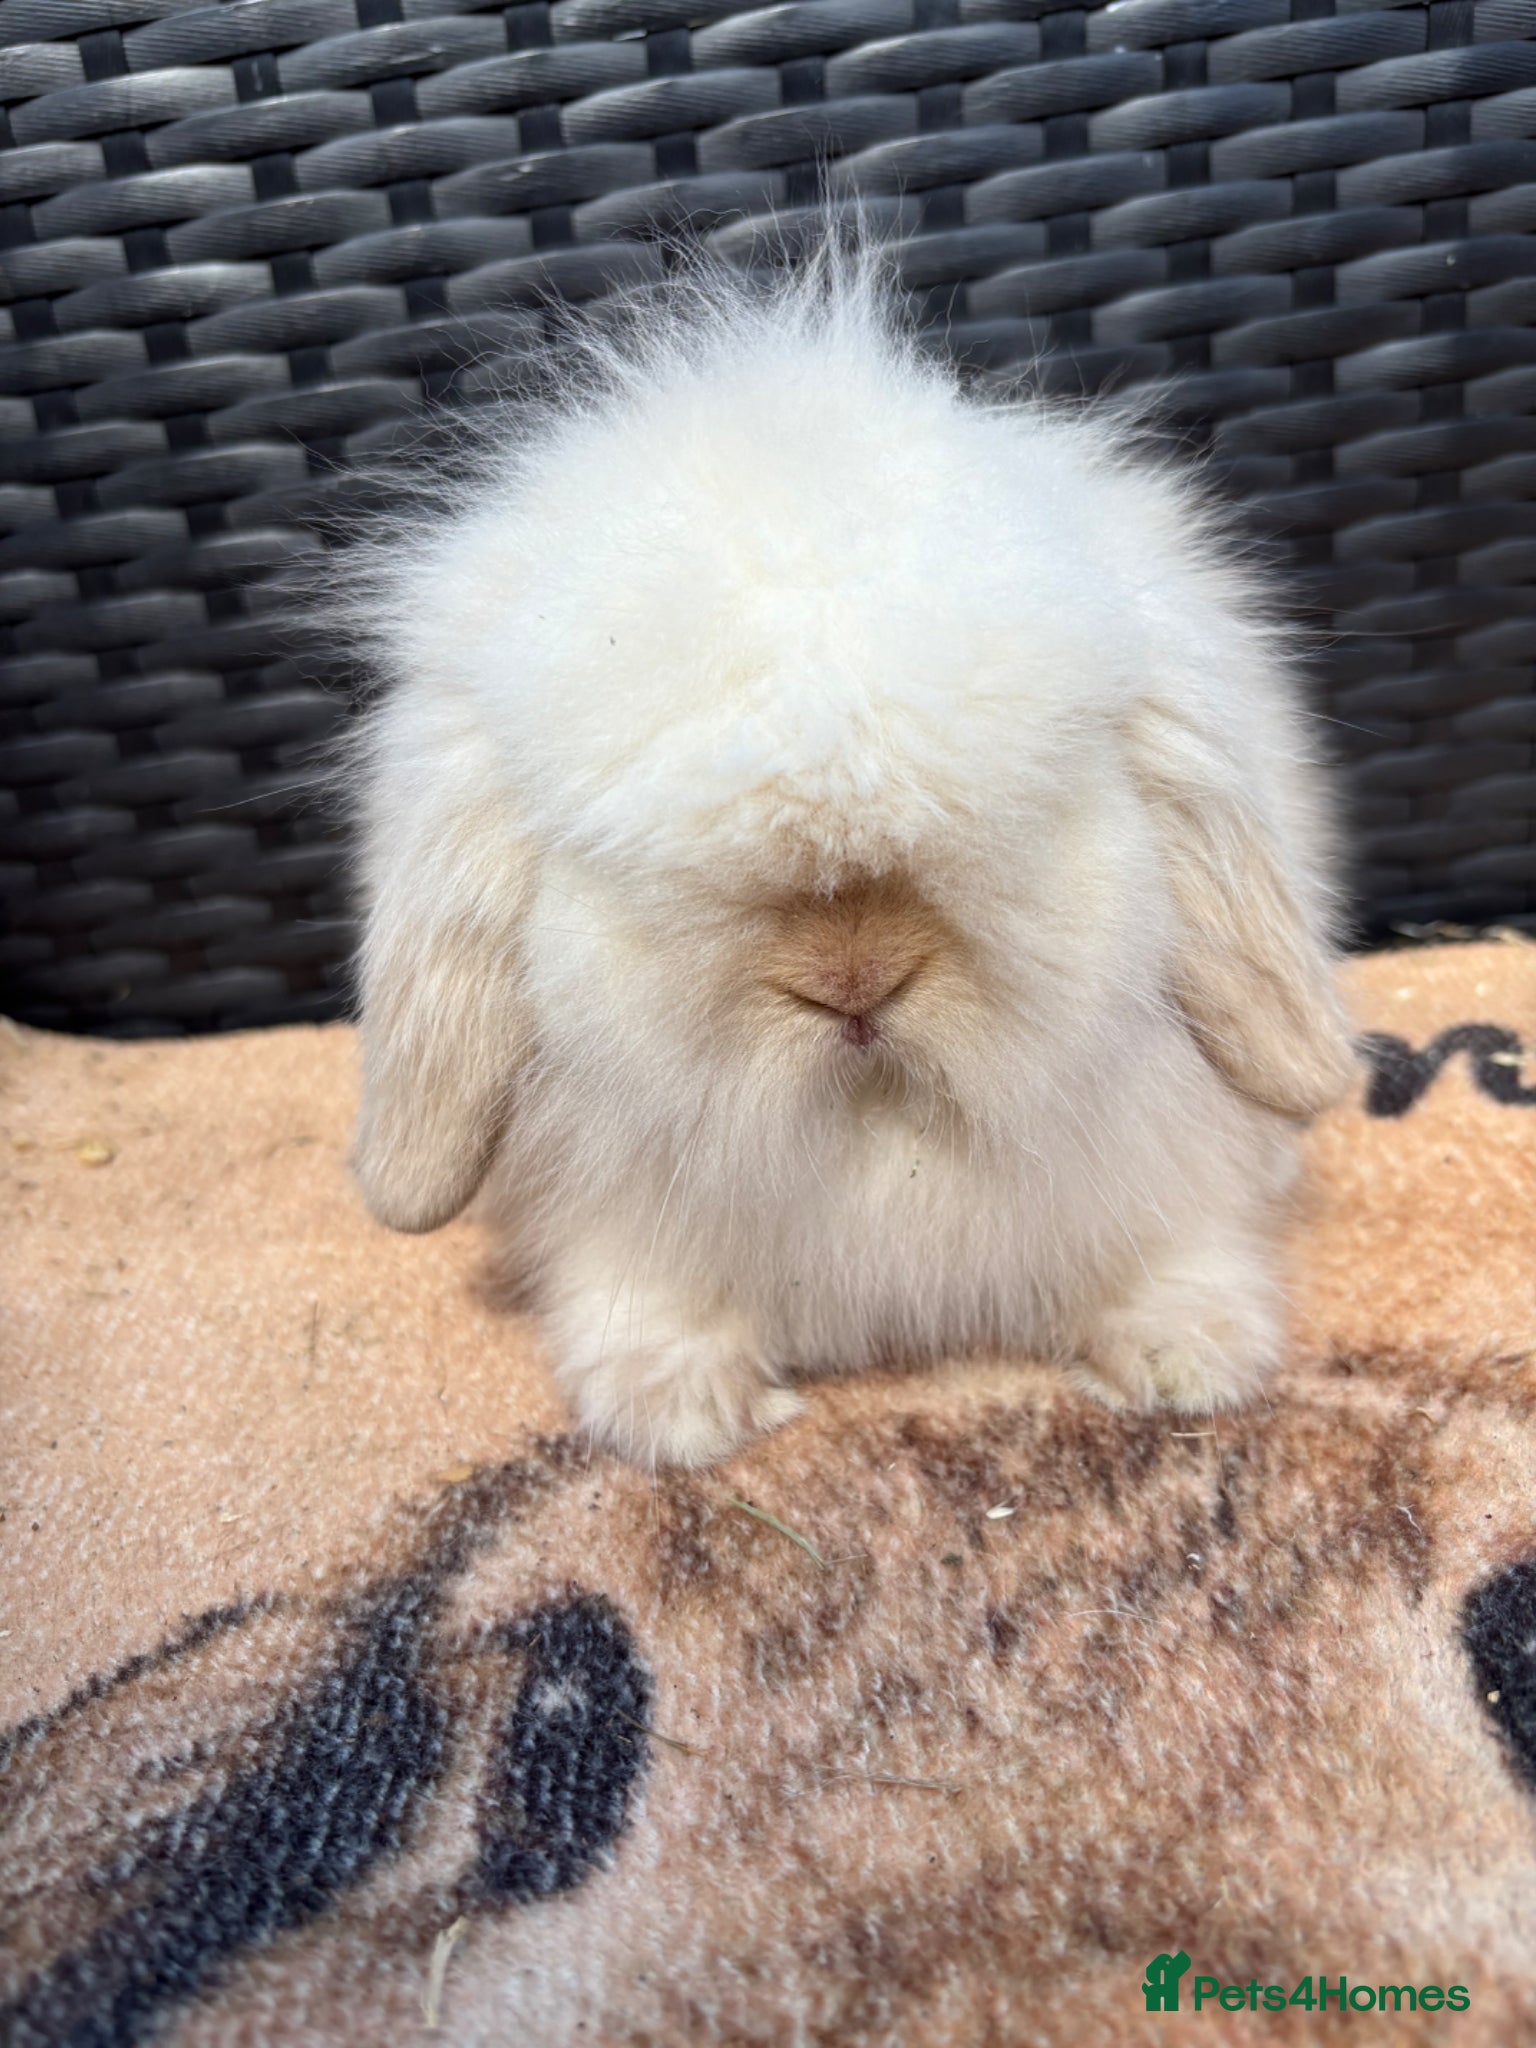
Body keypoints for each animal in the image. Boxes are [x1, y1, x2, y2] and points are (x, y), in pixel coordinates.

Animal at [344, 247, 1357, 1470]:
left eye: (1034, 801)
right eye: (625, 861)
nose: (854, 982)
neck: (877, 1137)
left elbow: (1171, 1251)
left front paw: (1189, 1362)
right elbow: (647, 1308)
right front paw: (678, 1414)